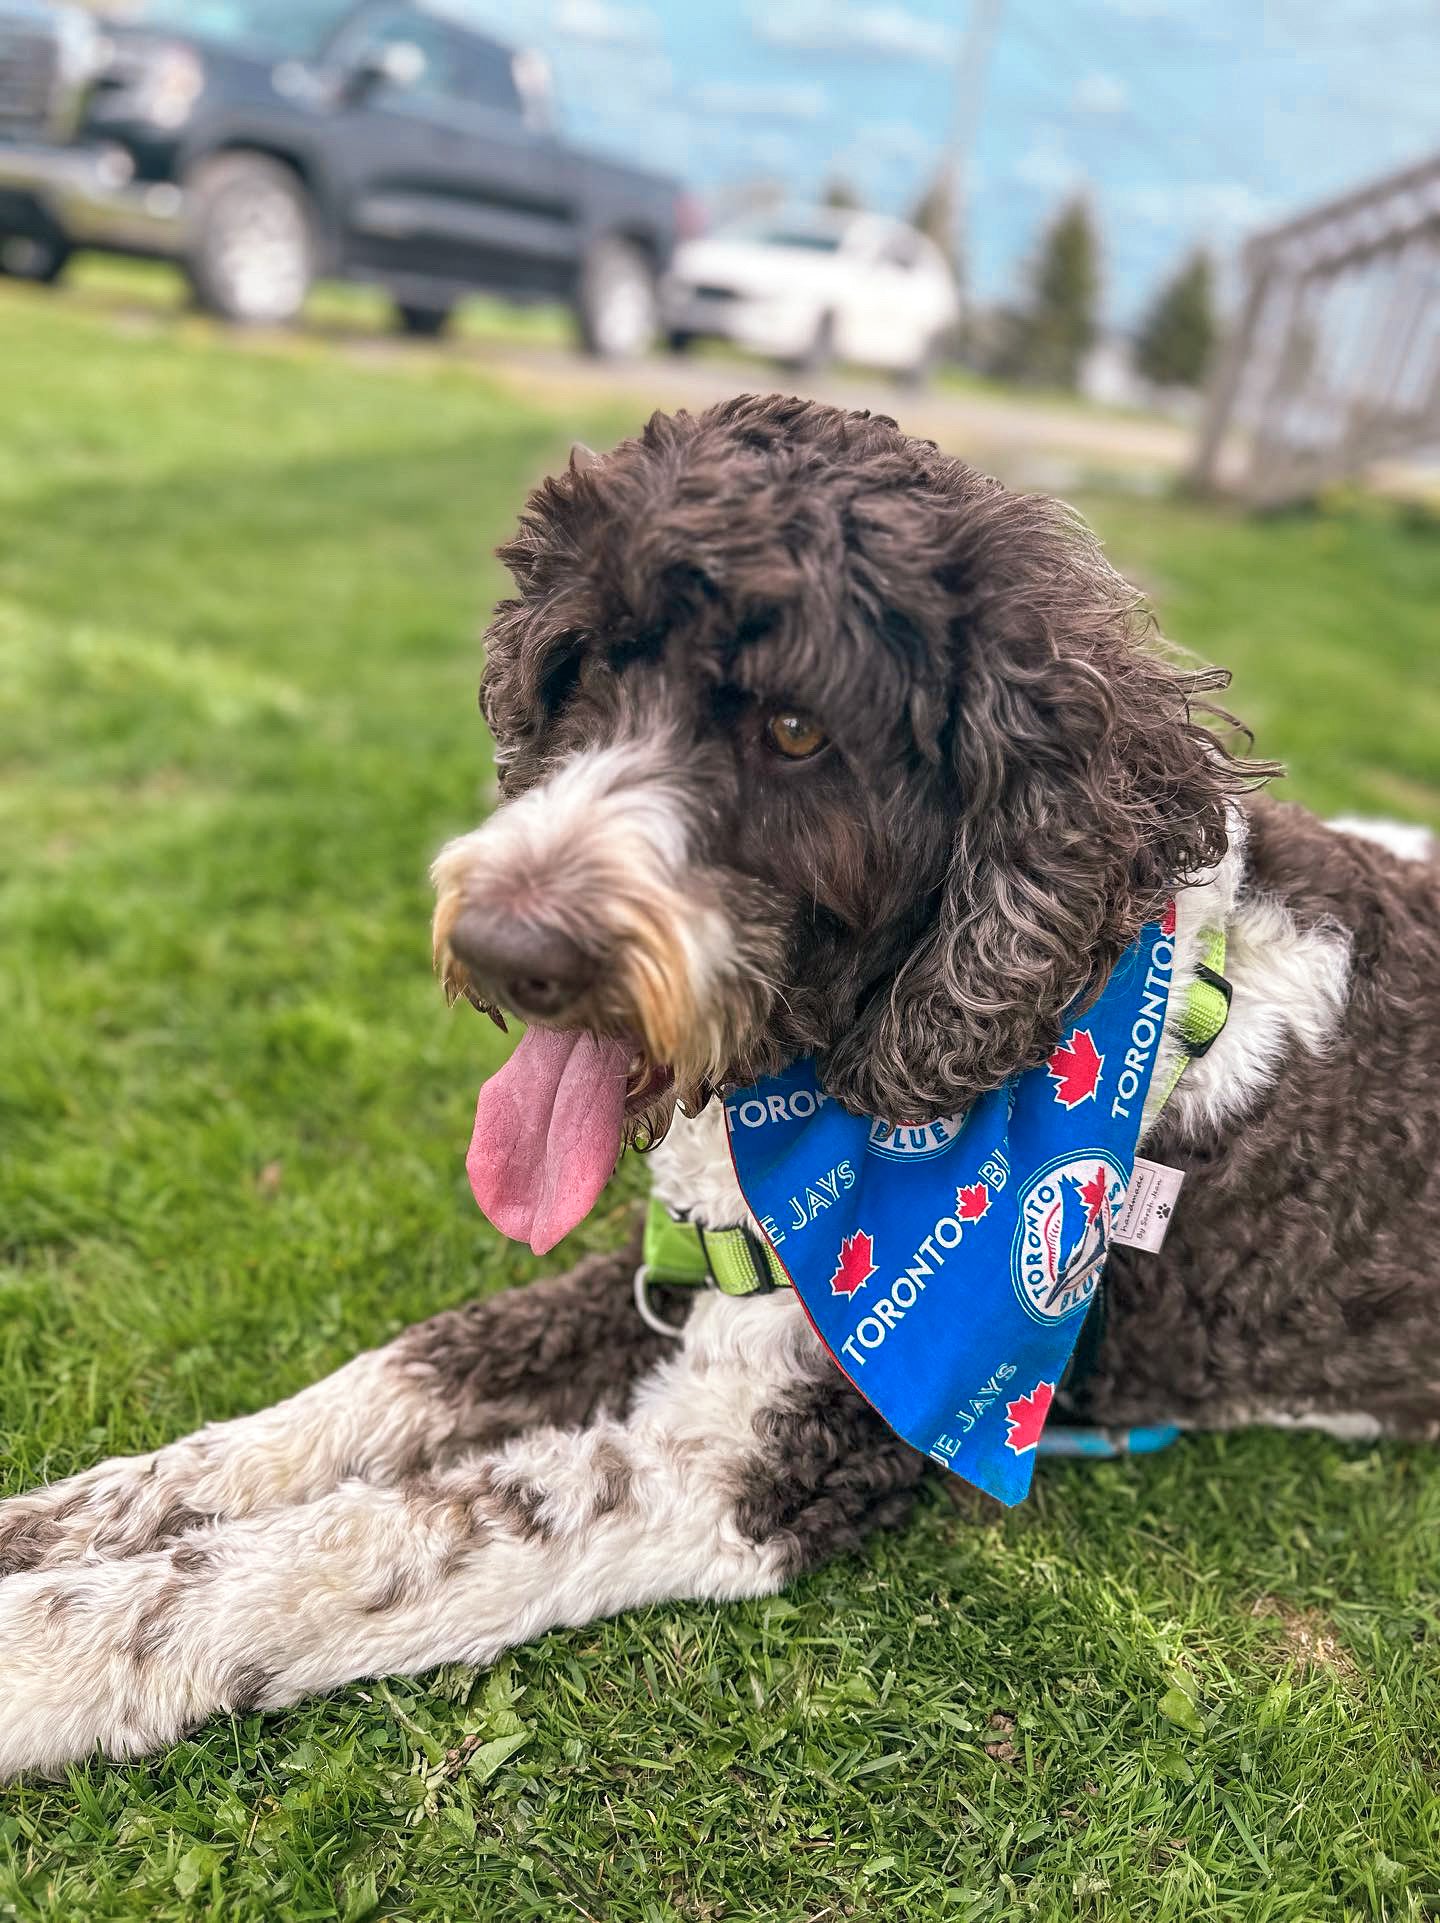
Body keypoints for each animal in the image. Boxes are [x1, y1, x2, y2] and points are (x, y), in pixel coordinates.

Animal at [2, 398, 1438, 1776]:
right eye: (578, 668)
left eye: (797, 728)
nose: (502, 947)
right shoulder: (689, 1254)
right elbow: (386, 1379)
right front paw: (61, 1519)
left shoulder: (760, 1456)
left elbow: (386, 1542)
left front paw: (44, 1651)